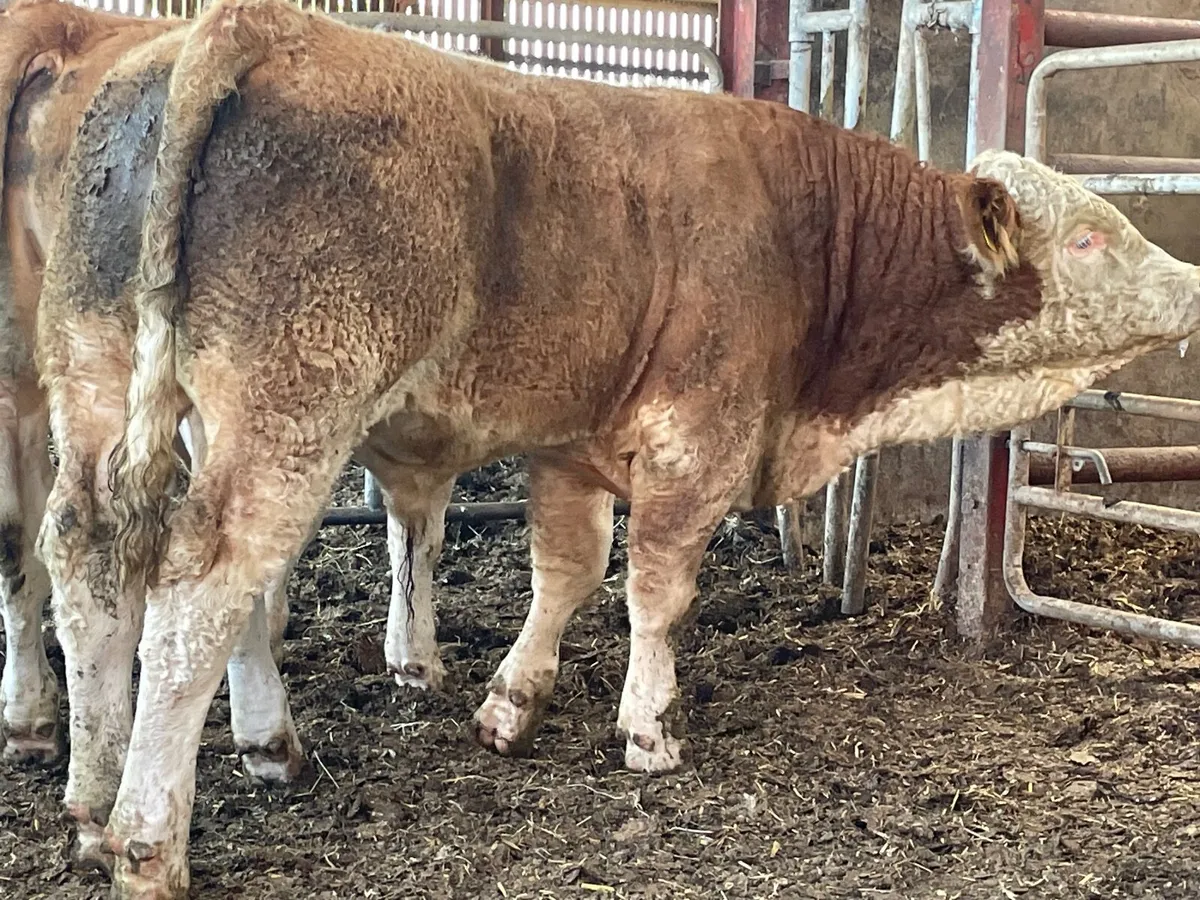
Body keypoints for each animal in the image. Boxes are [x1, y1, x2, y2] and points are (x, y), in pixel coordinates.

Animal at [38, 0, 1200, 896]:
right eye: (1091, 235)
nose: (1190, 281)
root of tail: (255, 27)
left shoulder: (571, 445)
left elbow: (565, 571)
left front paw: (512, 705)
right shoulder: (699, 439)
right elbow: (655, 589)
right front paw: (647, 730)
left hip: (102, 384)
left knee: (95, 557)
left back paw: (115, 796)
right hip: (288, 411)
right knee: (206, 586)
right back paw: (151, 839)